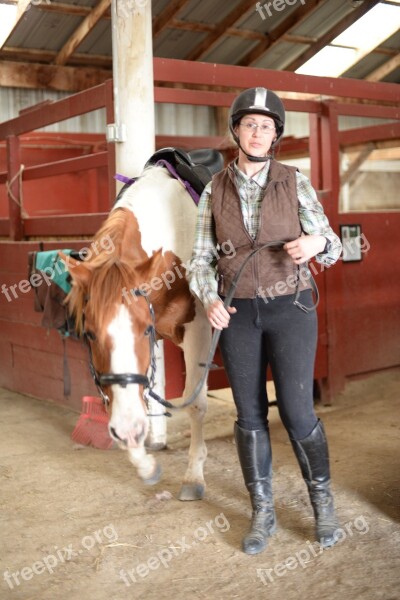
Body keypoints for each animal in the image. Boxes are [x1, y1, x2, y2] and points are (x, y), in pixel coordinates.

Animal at [64, 162, 212, 500]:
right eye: (89, 334)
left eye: (144, 330)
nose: (127, 429)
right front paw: (145, 463)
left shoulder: (198, 330)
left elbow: (196, 403)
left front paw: (194, 475)